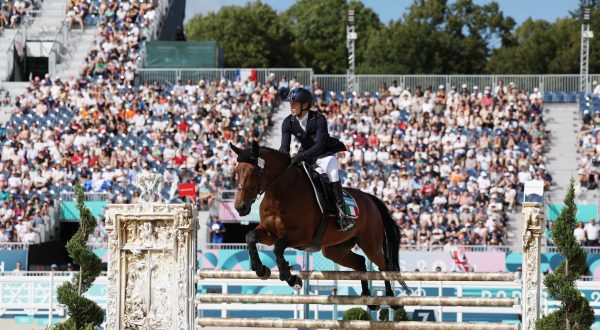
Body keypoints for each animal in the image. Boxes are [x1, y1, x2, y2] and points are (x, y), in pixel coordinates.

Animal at [229, 140, 408, 310]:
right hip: (334, 250)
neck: (279, 195)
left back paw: (391, 300)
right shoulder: (270, 233)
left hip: (370, 244)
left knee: (383, 265)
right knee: (360, 262)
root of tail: (370, 199)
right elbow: (250, 237)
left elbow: (278, 247)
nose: (240, 207)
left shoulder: (302, 237)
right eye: (236, 171)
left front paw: (292, 278)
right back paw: (367, 298)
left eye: (254, 172)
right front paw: (261, 269)